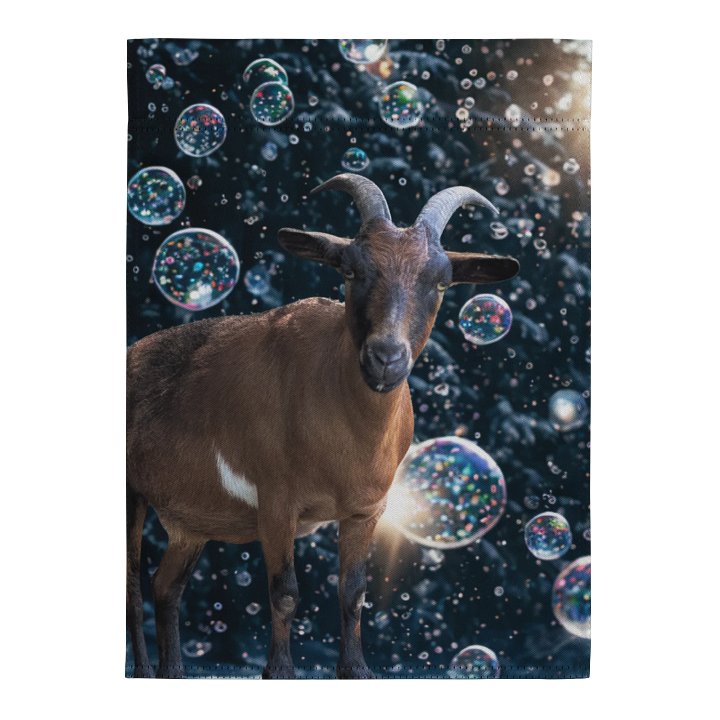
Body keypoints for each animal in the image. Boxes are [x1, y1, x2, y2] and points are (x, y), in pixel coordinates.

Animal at [126, 173, 519, 679]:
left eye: (443, 281)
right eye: (349, 270)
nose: (386, 357)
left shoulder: (367, 510)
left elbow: (353, 593)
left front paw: (357, 670)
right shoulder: (276, 502)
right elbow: (285, 592)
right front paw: (279, 673)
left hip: (190, 522)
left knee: (164, 586)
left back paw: (172, 671)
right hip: (133, 494)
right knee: (133, 585)